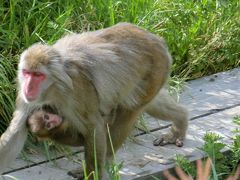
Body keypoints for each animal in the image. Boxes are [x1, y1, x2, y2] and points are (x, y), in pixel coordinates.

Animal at [0, 23, 188, 179]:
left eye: (38, 75)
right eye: (27, 73)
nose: (28, 87)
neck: (52, 88)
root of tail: (157, 39)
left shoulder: (76, 90)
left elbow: (93, 127)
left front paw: (93, 174)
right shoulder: (26, 97)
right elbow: (15, 134)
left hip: (155, 67)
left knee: (130, 110)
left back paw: (106, 160)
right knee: (149, 103)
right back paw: (181, 119)